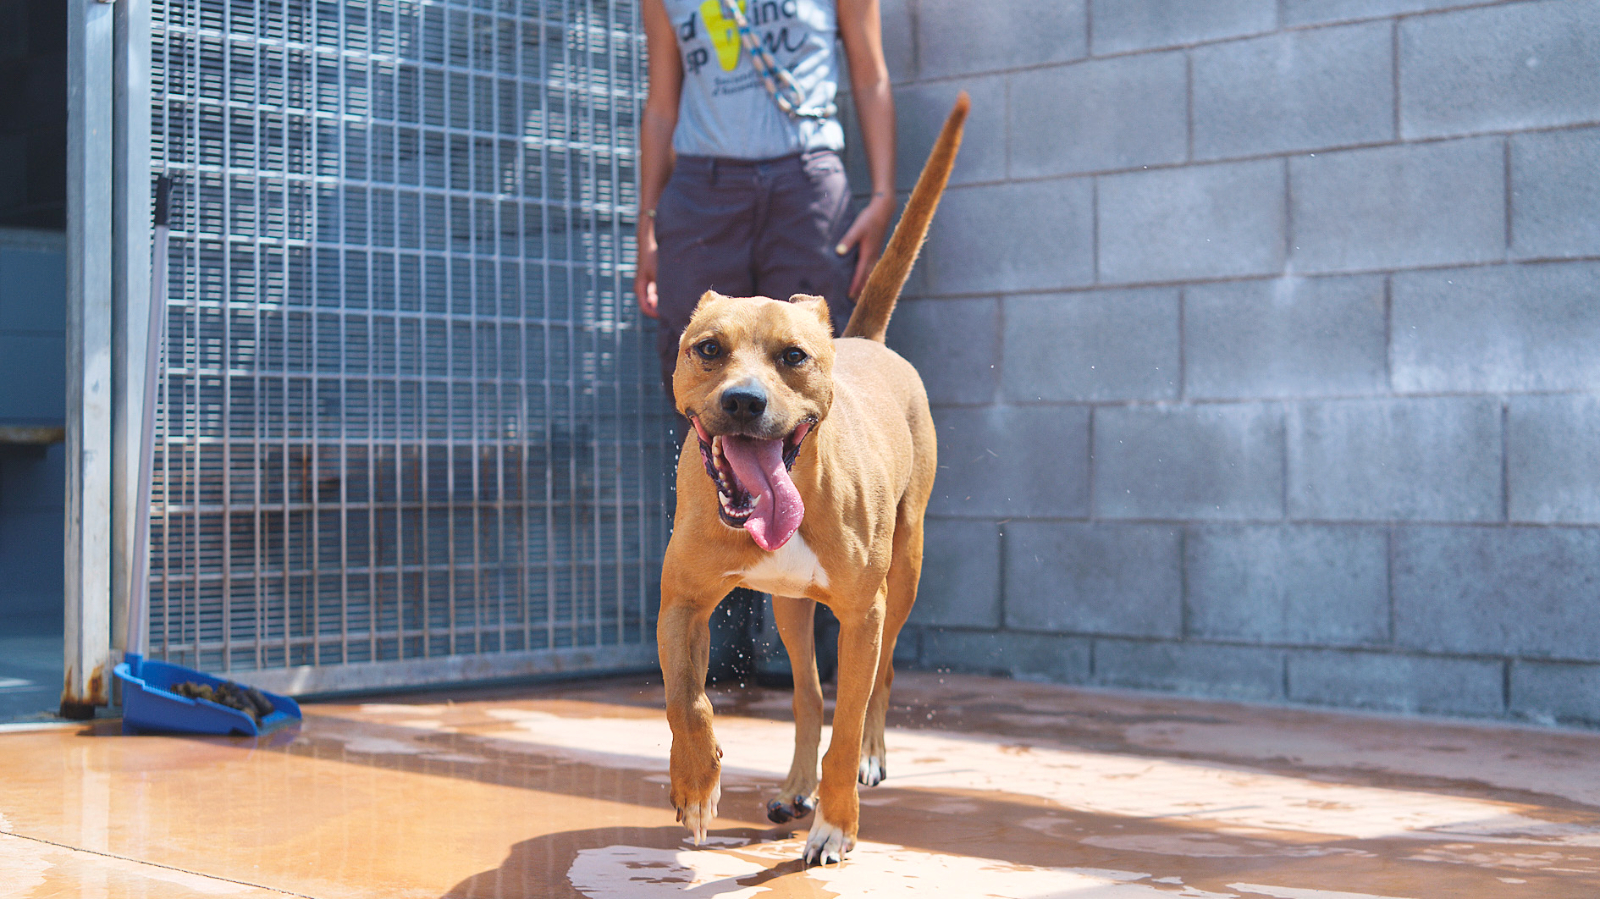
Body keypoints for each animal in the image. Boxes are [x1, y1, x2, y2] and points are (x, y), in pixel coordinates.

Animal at [657, 93, 969, 866]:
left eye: (793, 356)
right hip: (790, 609)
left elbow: (851, 714)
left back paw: (864, 763)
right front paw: (695, 783)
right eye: (708, 348)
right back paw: (795, 785)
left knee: (879, 679)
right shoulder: (683, 598)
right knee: (804, 693)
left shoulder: (863, 612)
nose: (743, 401)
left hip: (904, 573)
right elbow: (686, 697)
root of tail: (866, 340)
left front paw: (837, 823)